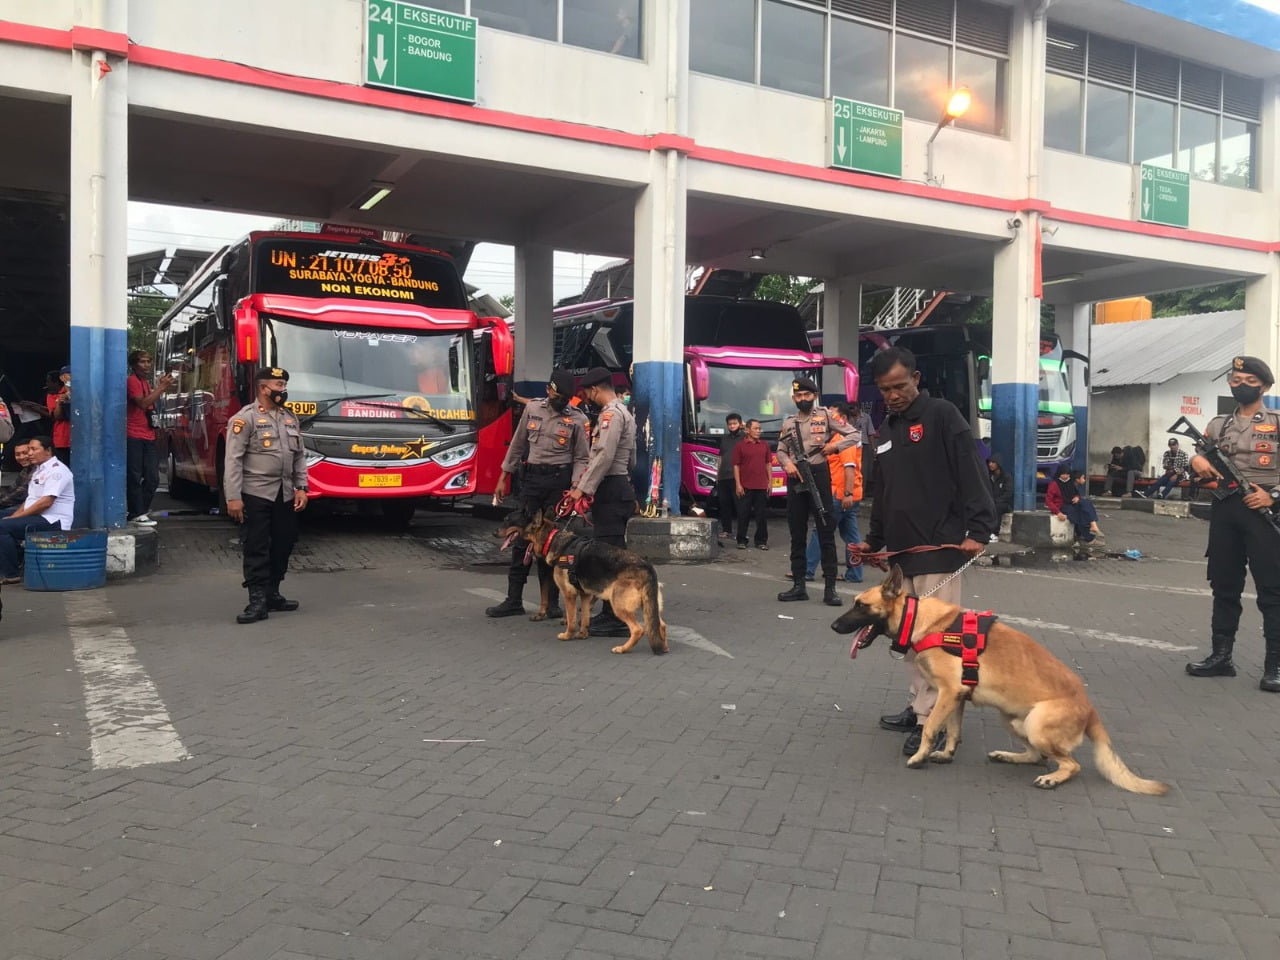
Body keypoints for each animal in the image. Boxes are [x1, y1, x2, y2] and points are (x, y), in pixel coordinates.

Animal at [517, 514, 670, 660]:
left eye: (525, 532)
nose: (516, 540)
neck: (553, 538)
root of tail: (647, 567)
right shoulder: (585, 595)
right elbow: (585, 617)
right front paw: (583, 634)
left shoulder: (569, 594)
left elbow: (571, 619)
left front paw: (567, 635)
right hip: (648, 606)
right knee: (660, 625)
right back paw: (664, 648)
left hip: (619, 606)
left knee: (638, 630)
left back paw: (622, 649)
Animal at [829, 570, 1172, 798]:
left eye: (860, 605)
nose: (832, 625)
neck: (923, 621)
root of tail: (1089, 710)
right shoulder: (957, 696)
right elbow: (952, 731)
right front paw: (945, 755)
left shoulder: (948, 693)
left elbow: (929, 728)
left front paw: (919, 757)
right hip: (1012, 719)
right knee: (1037, 756)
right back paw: (1009, 756)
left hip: (1036, 723)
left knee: (1070, 764)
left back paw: (1052, 778)